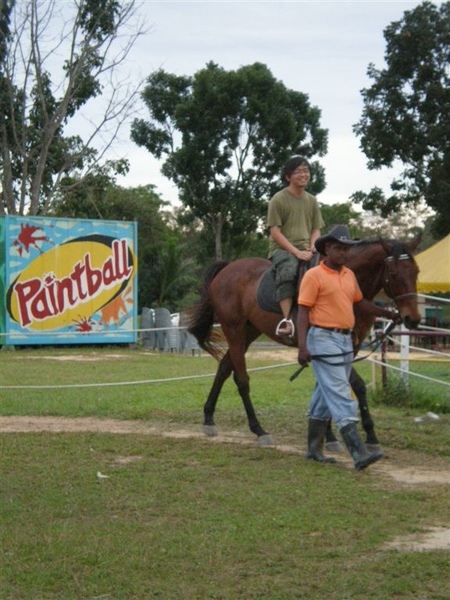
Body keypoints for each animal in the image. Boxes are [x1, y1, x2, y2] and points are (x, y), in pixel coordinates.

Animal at [186, 237, 422, 448]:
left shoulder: (346, 350)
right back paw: (259, 429)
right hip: (234, 330)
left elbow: (333, 386)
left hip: (248, 332)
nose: (413, 319)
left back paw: (209, 418)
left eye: (416, 272)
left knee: (224, 367)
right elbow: (352, 385)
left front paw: (337, 435)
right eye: (394, 274)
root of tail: (227, 268)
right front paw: (358, 436)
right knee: (241, 379)